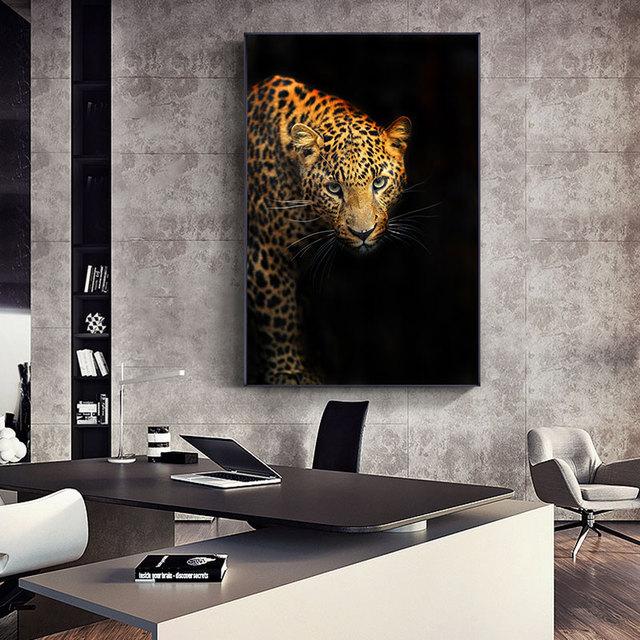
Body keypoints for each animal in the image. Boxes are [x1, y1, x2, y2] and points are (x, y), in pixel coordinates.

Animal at [246, 75, 411, 385]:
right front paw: (289, 372)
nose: (363, 233)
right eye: (334, 188)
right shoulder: (264, 257)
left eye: (379, 183)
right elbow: (279, 319)